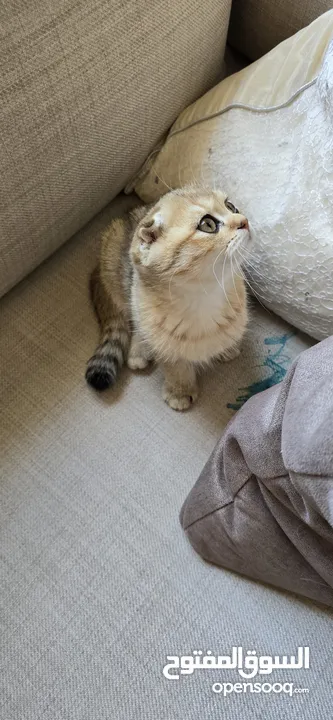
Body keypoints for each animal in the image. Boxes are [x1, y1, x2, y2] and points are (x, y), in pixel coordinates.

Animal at [85, 186, 249, 410]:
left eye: (231, 206)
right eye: (208, 224)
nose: (245, 220)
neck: (204, 298)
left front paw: (227, 348)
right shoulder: (164, 343)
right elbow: (176, 366)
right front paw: (180, 391)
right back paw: (139, 350)